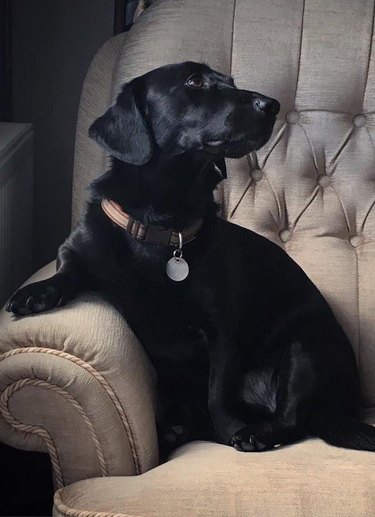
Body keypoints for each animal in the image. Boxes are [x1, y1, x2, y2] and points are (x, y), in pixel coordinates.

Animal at [7, 62, 375, 458]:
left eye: (230, 82)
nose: (272, 105)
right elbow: (67, 269)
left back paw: (254, 433)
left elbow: (218, 395)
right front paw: (35, 294)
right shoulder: (77, 249)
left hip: (306, 346)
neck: (161, 223)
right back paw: (177, 429)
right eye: (194, 81)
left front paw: (230, 430)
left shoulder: (221, 332)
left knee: (291, 417)